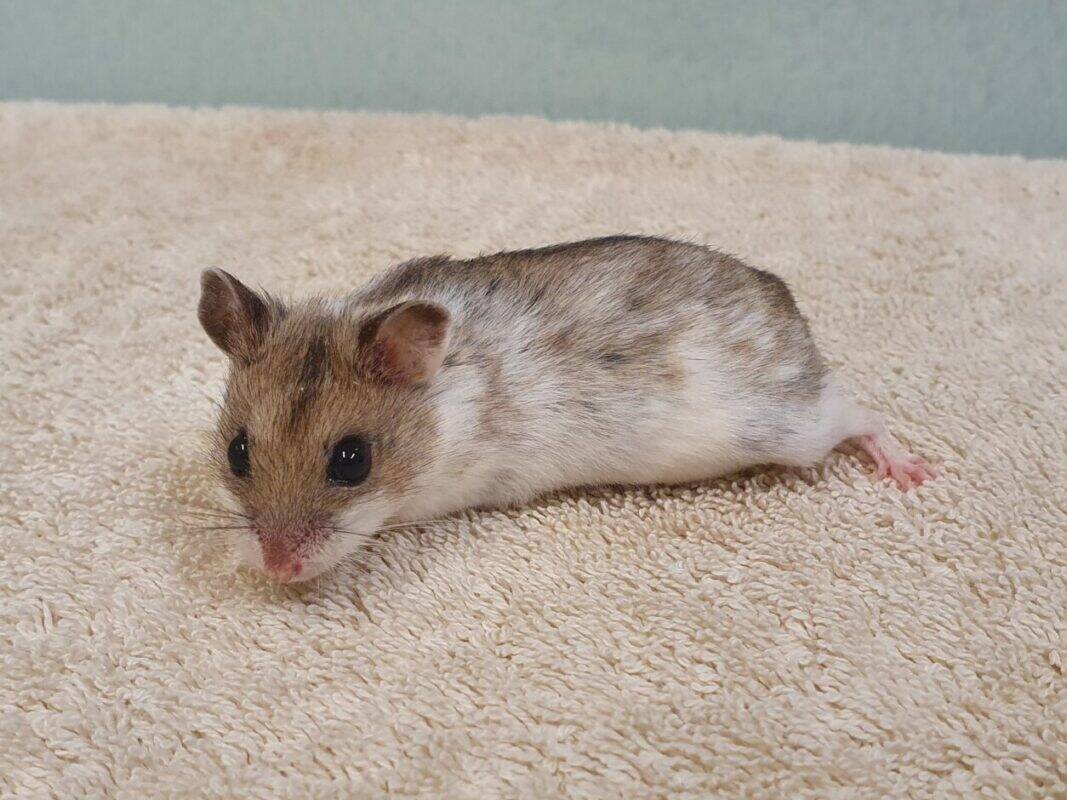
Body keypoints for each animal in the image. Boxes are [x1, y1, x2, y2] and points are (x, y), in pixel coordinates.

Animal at [197, 236, 932, 583]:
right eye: (237, 451)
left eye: (352, 460)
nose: (276, 570)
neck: (442, 401)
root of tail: (787, 308)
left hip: (786, 425)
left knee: (859, 412)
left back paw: (910, 472)